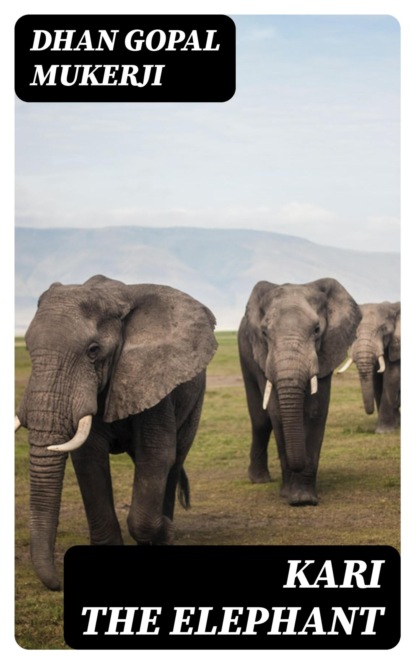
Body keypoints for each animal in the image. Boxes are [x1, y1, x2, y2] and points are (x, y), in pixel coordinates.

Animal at [14, 275, 217, 591]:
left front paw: (165, 531)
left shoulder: (152, 377)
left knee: (175, 461)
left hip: (195, 398)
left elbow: (157, 456)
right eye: (27, 348)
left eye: (93, 351)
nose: (58, 582)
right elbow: (89, 461)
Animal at [238, 277, 361, 506]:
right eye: (264, 333)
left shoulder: (326, 351)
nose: (298, 464)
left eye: (317, 329)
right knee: (260, 421)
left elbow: (315, 412)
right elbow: (277, 414)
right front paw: (290, 496)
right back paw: (259, 480)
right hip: (244, 353)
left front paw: (304, 499)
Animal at [338, 301, 400, 433]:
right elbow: (376, 380)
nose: (370, 411)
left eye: (384, 329)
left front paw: (383, 432)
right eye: (354, 333)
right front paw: (393, 426)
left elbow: (392, 376)